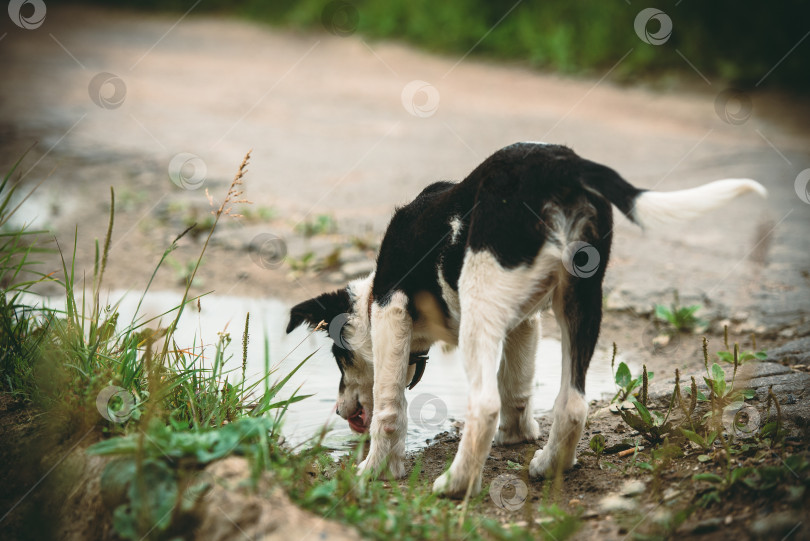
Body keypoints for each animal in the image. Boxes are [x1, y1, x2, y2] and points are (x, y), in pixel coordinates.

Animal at [286, 141, 764, 496]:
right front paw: (517, 438)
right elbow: (517, 389)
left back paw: (456, 485)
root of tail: (565, 166)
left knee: (483, 406)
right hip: (580, 299)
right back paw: (550, 465)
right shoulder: (524, 323)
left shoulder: (390, 309)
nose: (338, 409)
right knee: (571, 403)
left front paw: (375, 471)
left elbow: (389, 406)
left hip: (480, 303)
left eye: (338, 357)